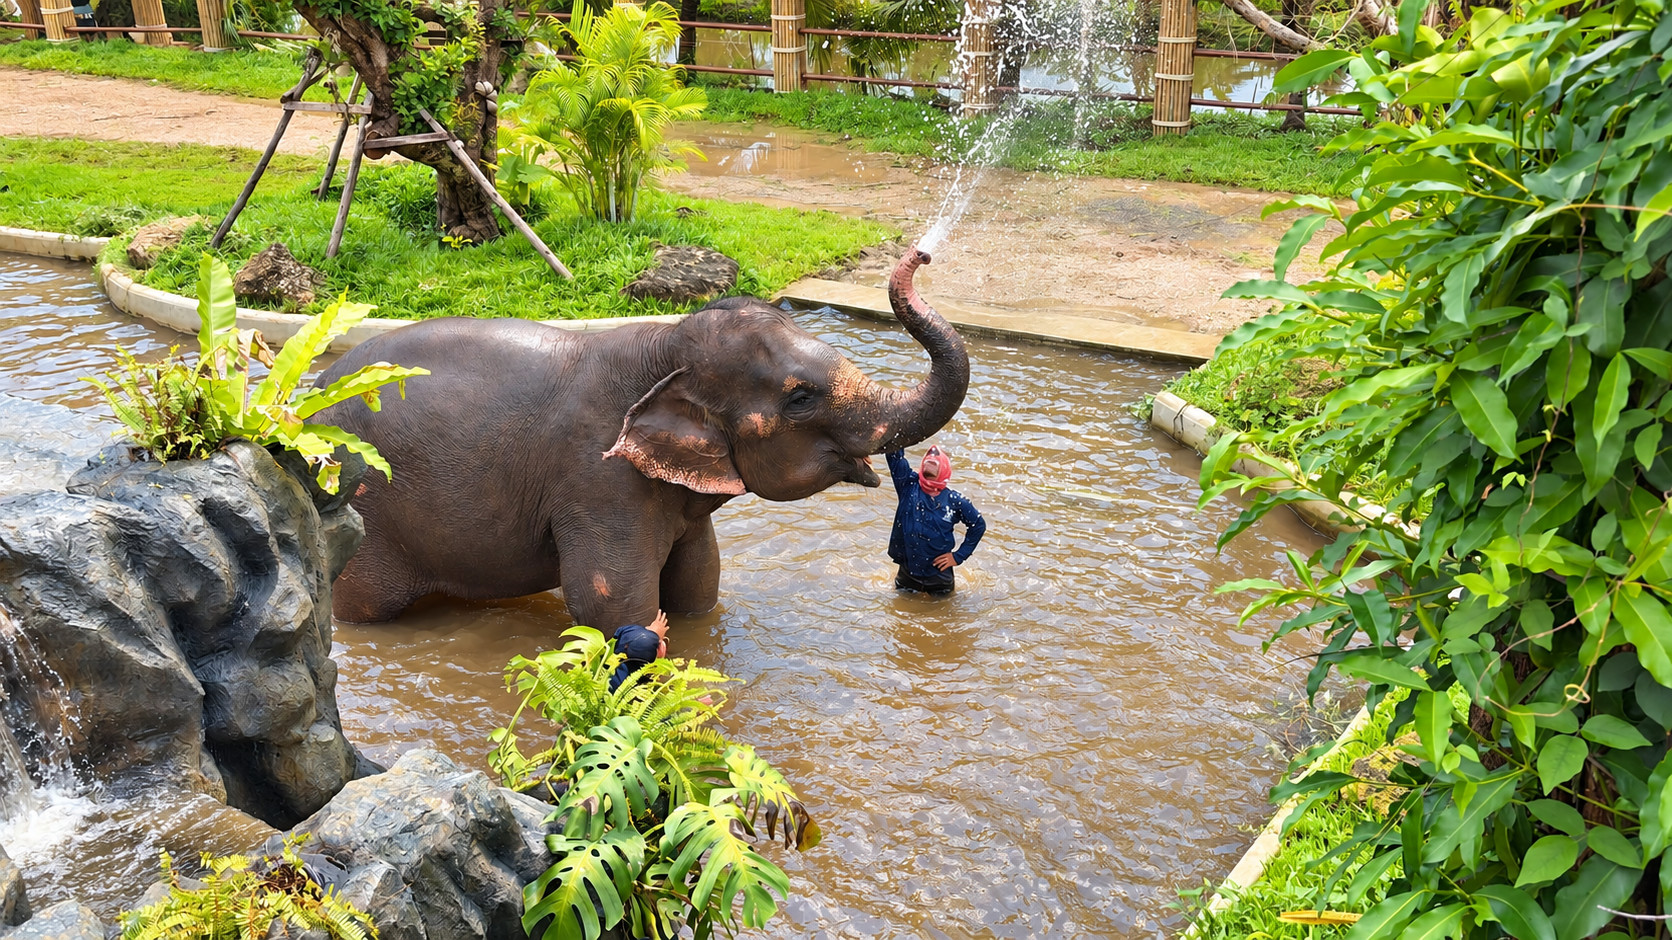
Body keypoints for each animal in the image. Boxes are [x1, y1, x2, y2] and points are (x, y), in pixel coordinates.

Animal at [316, 248, 967, 630]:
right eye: (801, 397)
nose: (922, 251)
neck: (664, 345)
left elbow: (698, 585)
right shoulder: (597, 479)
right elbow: (611, 603)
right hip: (361, 507)